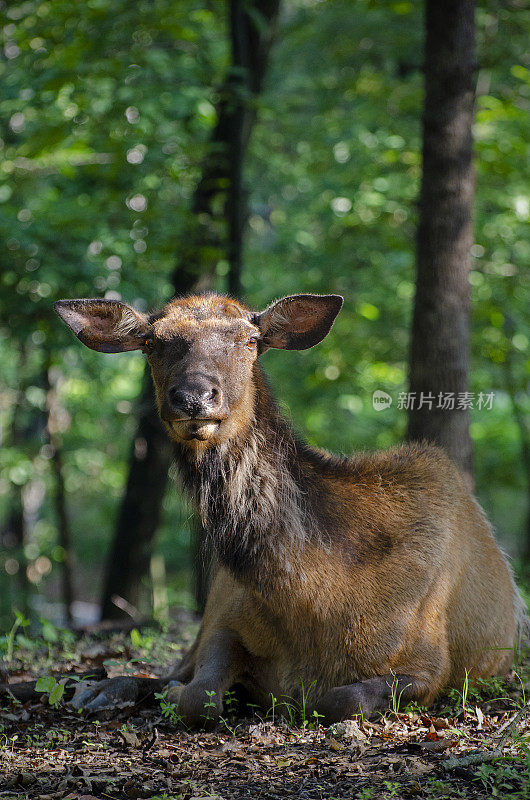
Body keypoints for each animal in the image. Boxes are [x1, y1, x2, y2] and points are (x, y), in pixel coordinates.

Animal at [54, 294, 524, 724]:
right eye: (152, 341)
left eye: (249, 339)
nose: (193, 396)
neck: (319, 597)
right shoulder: (223, 620)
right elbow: (199, 695)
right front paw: (181, 693)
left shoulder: (430, 662)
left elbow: (339, 699)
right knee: (168, 671)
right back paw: (99, 689)